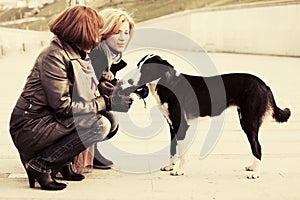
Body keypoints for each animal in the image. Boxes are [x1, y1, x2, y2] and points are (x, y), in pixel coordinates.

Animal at [121, 54, 290, 178]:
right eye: (138, 65)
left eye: (147, 68)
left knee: (258, 147)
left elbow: (182, 152)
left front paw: (179, 170)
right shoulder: (171, 125)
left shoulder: (181, 125)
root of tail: (263, 84)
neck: (169, 84)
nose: (129, 80)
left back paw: (255, 173)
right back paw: (252, 167)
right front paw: (170, 166)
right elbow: (172, 148)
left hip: (249, 122)